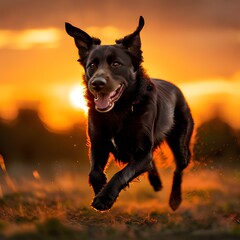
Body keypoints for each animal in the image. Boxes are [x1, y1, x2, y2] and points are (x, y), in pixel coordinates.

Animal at [65, 16, 193, 211]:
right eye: (92, 65)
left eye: (116, 64)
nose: (97, 83)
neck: (118, 111)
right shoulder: (97, 144)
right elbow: (94, 172)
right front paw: (100, 188)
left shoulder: (142, 153)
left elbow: (121, 174)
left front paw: (105, 198)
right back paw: (156, 183)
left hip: (181, 144)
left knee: (179, 168)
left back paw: (174, 200)